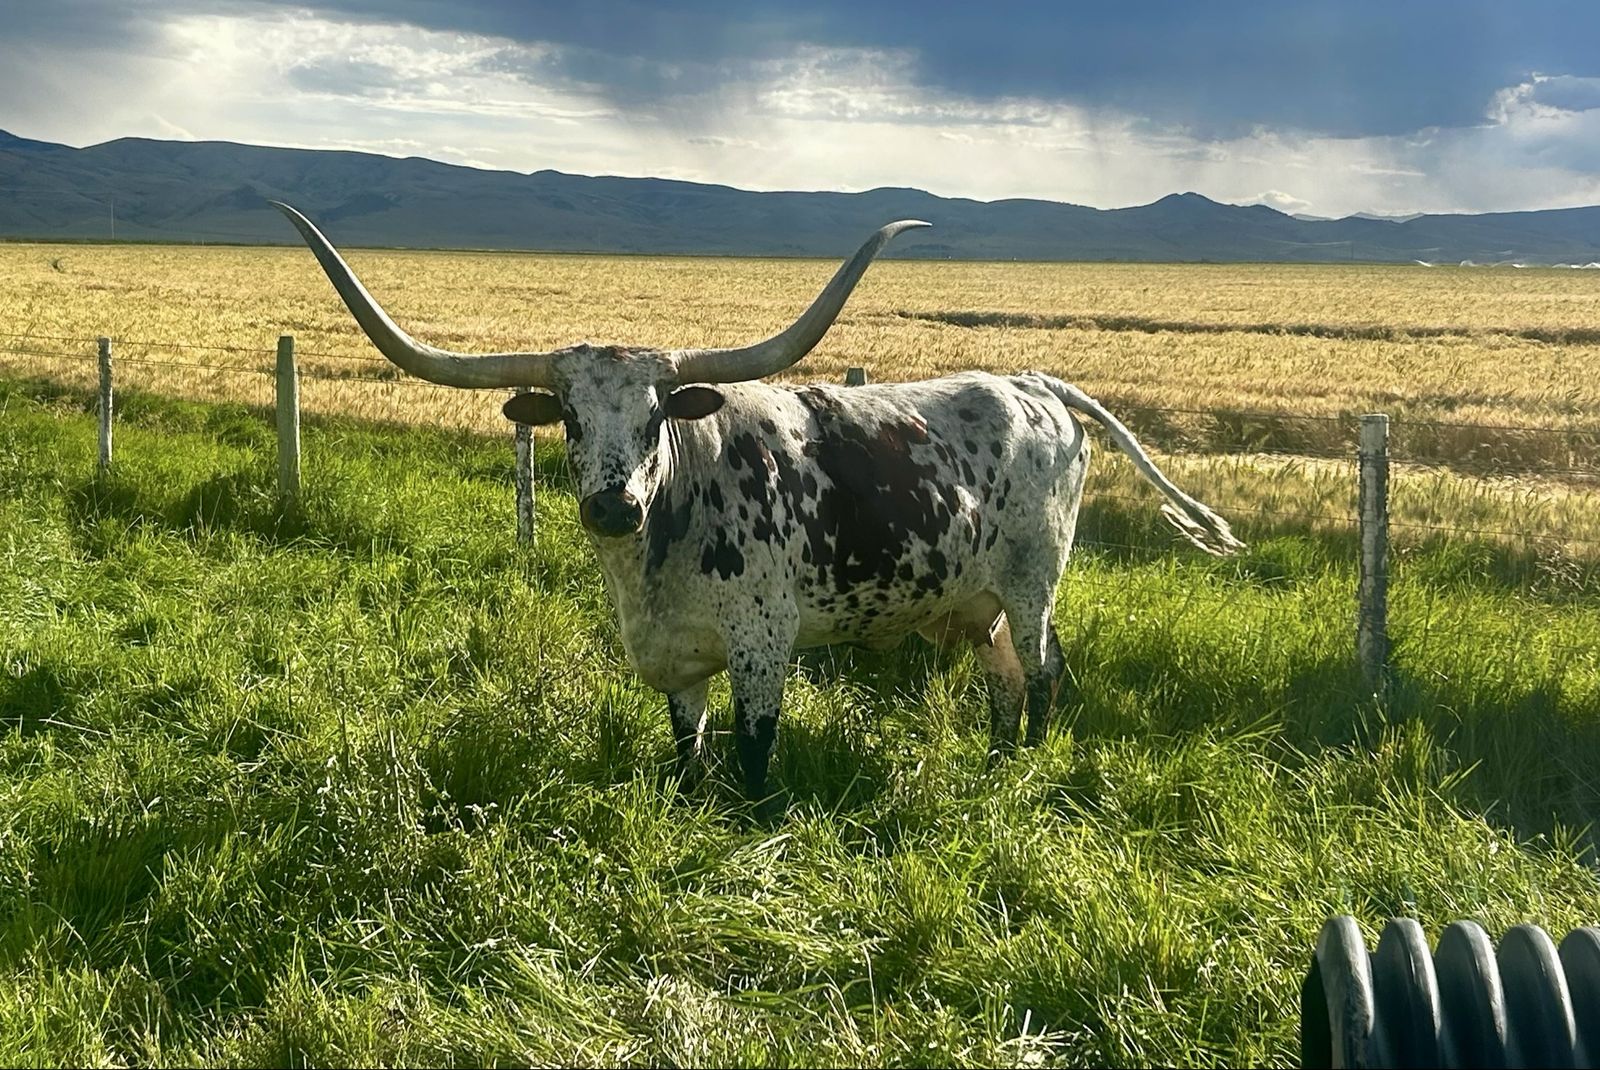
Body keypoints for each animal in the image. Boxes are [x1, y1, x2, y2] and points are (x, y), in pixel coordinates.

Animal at [272, 202, 1243, 804]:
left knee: (1044, 675)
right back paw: (997, 761)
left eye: (660, 411)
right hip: (979, 599)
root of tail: (1035, 383)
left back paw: (1027, 767)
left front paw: (756, 825)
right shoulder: (679, 661)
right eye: (571, 417)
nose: (613, 510)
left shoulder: (763, 644)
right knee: (1005, 680)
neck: (658, 554)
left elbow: (753, 751)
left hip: (1035, 580)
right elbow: (688, 752)